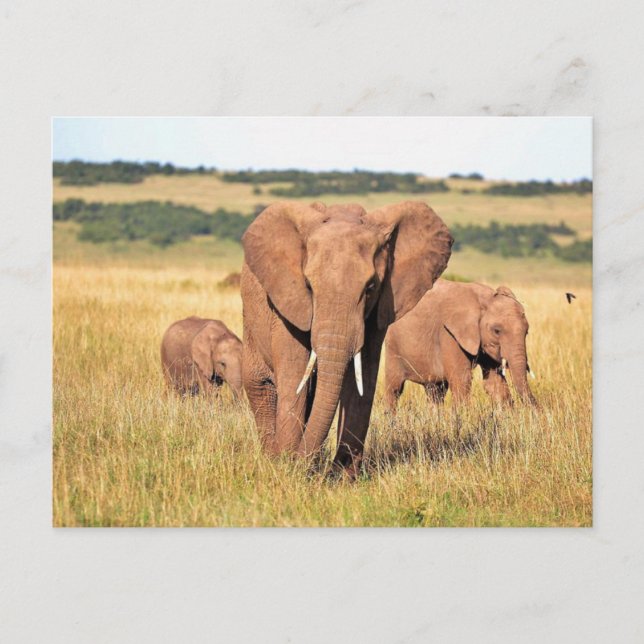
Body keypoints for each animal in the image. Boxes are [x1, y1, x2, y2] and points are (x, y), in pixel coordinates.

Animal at [240, 200, 453, 476]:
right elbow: (294, 374)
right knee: (261, 386)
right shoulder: (287, 303)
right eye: (308, 286)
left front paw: (341, 476)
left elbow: (363, 378)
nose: (299, 463)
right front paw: (288, 467)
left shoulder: (378, 310)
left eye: (370, 287)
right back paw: (272, 458)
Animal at [384, 279, 536, 410]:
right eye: (497, 331)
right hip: (392, 346)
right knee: (394, 389)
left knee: (435, 391)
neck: (483, 299)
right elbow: (462, 379)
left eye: (527, 332)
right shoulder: (449, 333)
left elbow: (494, 383)